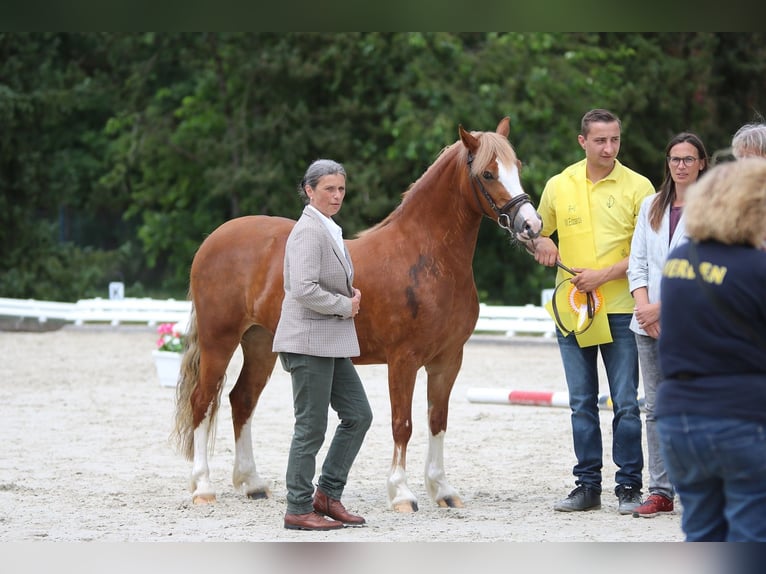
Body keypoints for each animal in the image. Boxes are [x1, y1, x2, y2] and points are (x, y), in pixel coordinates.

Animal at [176, 118, 544, 512]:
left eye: (517, 167)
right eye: (488, 173)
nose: (531, 225)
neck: (427, 257)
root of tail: (213, 241)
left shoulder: (447, 360)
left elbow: (437, 420)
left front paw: (442, 489)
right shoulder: (403, 360)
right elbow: (403, 424)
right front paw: (402, 493)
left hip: (259, 344)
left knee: (241, 400)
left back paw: (252, 483)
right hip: (219, 341)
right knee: (202, 402)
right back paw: (202, 487)